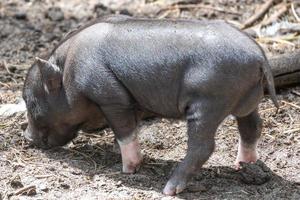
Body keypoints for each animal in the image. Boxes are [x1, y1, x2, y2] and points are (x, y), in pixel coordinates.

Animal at [22, 15, 278, 195]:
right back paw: (243, 165)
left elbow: (124, 131)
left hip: (207, 103)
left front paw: (127, 170)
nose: (26, 137)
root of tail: (259, 56)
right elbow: (131, 130)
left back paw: (169, 189)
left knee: (203, 146)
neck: (69, 73)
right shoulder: (131, 103)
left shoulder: (111, 96)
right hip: (248, 100)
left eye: (31, 103)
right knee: (253, 126)